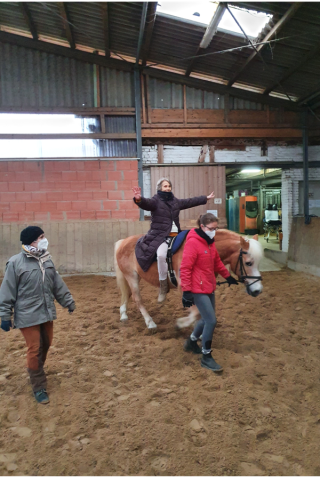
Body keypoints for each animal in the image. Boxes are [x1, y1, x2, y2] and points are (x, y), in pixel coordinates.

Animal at [114, 229, 264, 330]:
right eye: (248, 263)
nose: (258, 291)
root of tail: (122, 242)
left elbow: (202, 312)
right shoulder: (185, 288)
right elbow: (196, 313)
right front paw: (181, 324)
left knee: (127, 294)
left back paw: (123, 315)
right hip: (131, 276)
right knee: (137, 299)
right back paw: (150, 322)